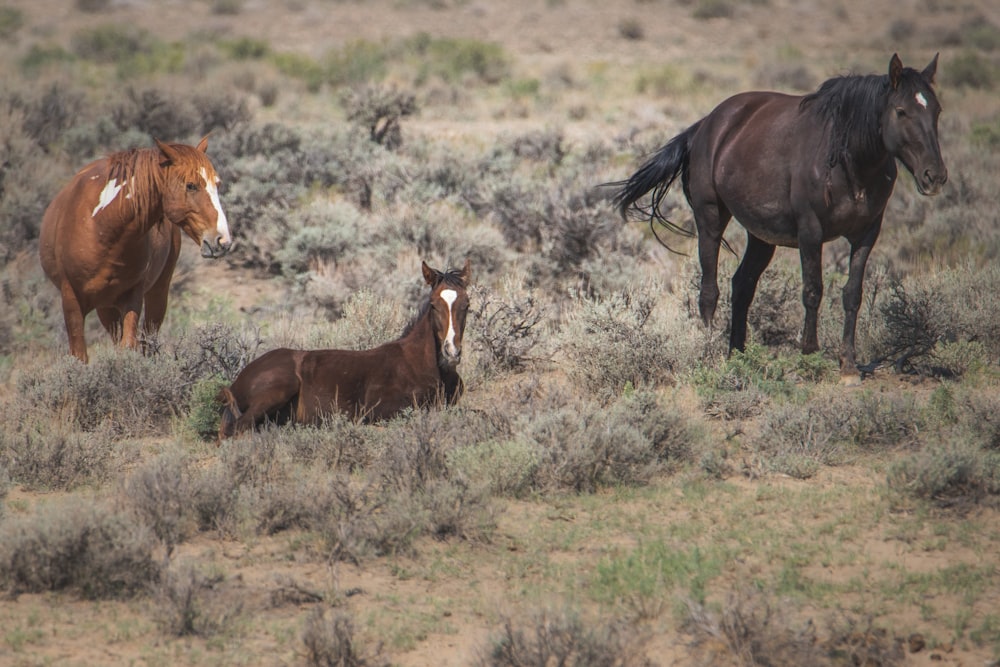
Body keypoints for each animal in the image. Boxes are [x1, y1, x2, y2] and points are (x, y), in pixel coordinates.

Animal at [39, 136, 232, 362]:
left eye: (217, 184)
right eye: (191, 185)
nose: (222, 240)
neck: (101, 228)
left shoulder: (132, 297)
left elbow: (128, 347)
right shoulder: (71, 300)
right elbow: (80, 355)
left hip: (156, 293)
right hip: (105, 307)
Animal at [216, 260, 472, 444]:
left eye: (467, 305)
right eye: (433, 305)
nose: (451, 352)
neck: (419, 363)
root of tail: (236, 382)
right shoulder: (387, 410)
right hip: (279, 387)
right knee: (236, 429)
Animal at [608, 54, 944, 384]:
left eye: (937, 110)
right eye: (901, 111)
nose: (935, 176)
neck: (848, 163)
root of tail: (705, 125)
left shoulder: (867, 234)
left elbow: (852, 294)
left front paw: (848, 366)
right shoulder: (811, 232)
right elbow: (813, 291)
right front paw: (809, 356)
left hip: (761, 237)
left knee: (742, 286)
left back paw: (737, 356)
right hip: (710, 219)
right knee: (709, 291)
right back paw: (709, 354)